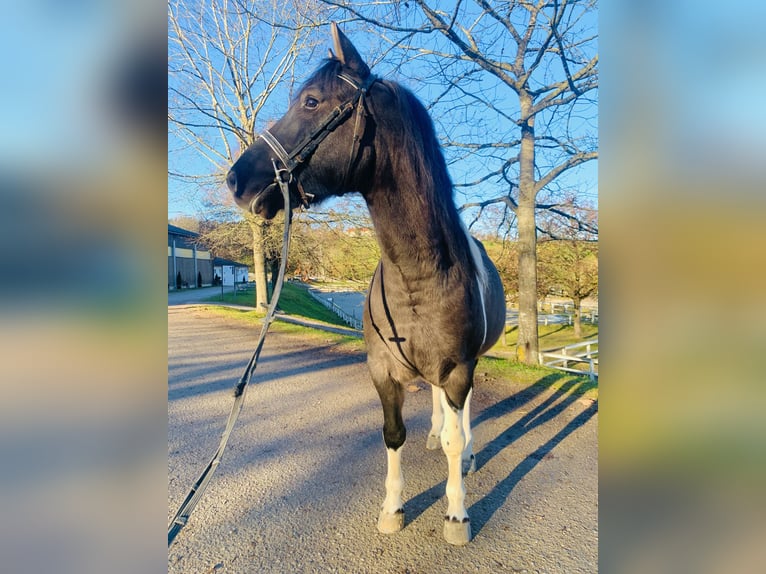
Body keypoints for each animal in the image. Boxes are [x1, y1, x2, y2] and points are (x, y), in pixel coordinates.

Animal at [225, 23, 508, 548]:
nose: (237, 180)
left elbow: (457, 434)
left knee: (463, 416)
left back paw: (468, 453)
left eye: (311, 101)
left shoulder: (459, 367)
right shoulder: (382, 369)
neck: (418, 276)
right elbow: (392, 434)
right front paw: (392, 509)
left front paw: (457, 515)